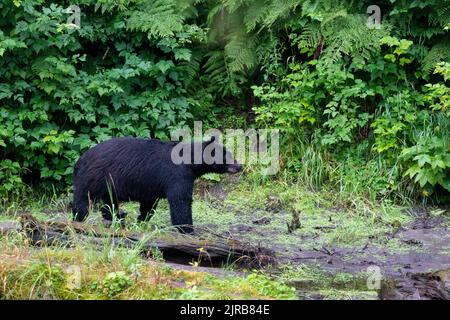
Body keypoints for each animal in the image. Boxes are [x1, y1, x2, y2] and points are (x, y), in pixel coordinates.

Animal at [72, 136, 243, 232]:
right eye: (227, 155)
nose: (239, 165)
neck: (190, 162)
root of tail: (79, 160)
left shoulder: (151, 186)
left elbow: (149, 204)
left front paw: (141, 220)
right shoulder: (177, 175)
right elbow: (180, 201)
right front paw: (187, 229)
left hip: (108, 183)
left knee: (109, 202)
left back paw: (118, 216)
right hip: (93, 177)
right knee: (82, 201)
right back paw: (78, 219)